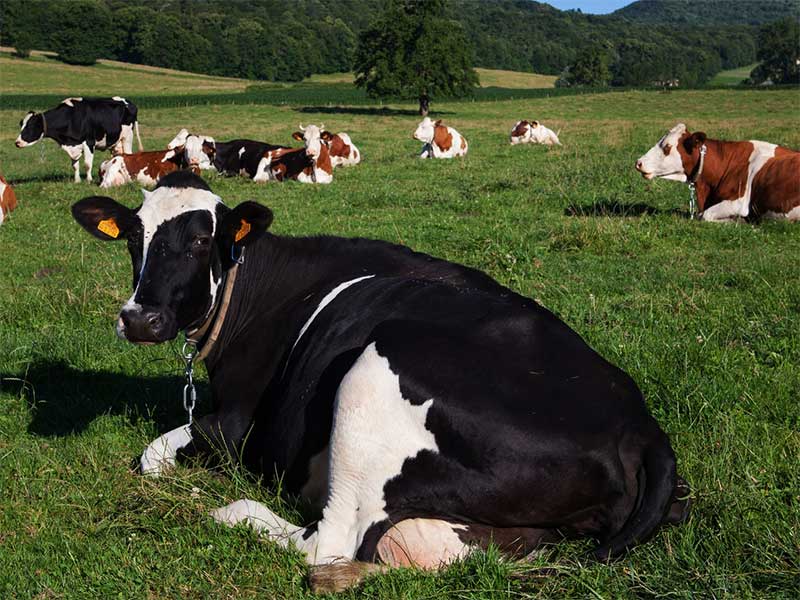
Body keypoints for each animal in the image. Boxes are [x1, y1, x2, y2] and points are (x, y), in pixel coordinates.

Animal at [70, 170, 689, 592]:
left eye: (202, 241)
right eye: (134, 239)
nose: (140, 319)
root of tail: (640, 426)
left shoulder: (237, 427)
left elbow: (153, 455)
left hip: (375, 372)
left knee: (328, 541)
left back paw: (228, 509)